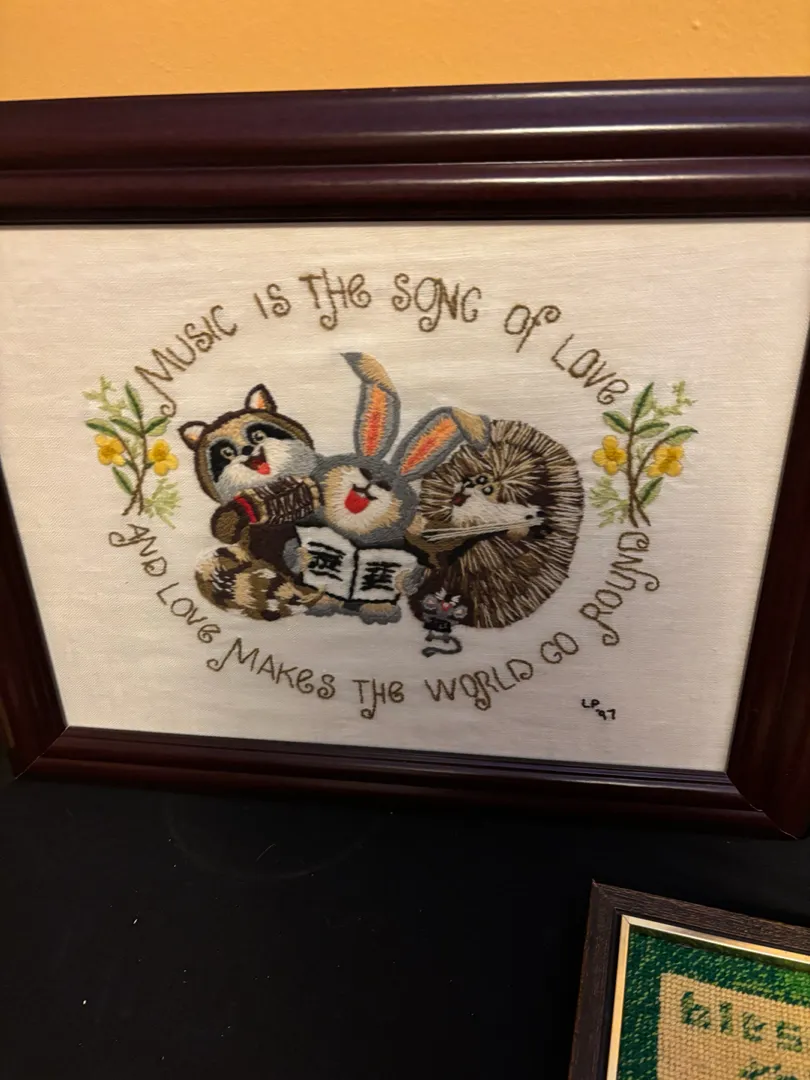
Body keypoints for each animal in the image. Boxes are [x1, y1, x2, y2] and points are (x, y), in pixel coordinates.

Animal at [285, 351, 490, 625]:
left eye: (387, 485)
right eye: (366, 470)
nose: (372, 481)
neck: (355, 535)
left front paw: (403, 580)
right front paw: (303, 555)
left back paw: (378, 611)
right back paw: (325, 604)